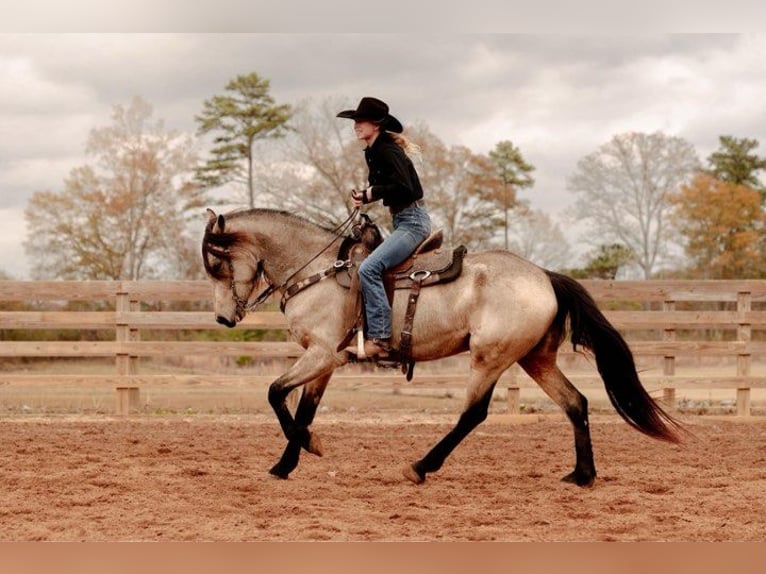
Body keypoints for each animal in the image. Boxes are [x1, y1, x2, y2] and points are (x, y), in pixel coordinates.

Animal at [202, 207, 684, 486]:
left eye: (216, 263)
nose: (224, 318)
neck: (320, 269)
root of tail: (544, 276)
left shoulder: (322, 353)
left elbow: (275, 394)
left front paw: (309, 447)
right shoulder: (326, 361)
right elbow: (302, 409)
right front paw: (286, 464)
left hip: (490, 358)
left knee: (474, 414)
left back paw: (420, 467)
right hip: (535, 359)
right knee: (576, 403)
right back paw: (582, 476)